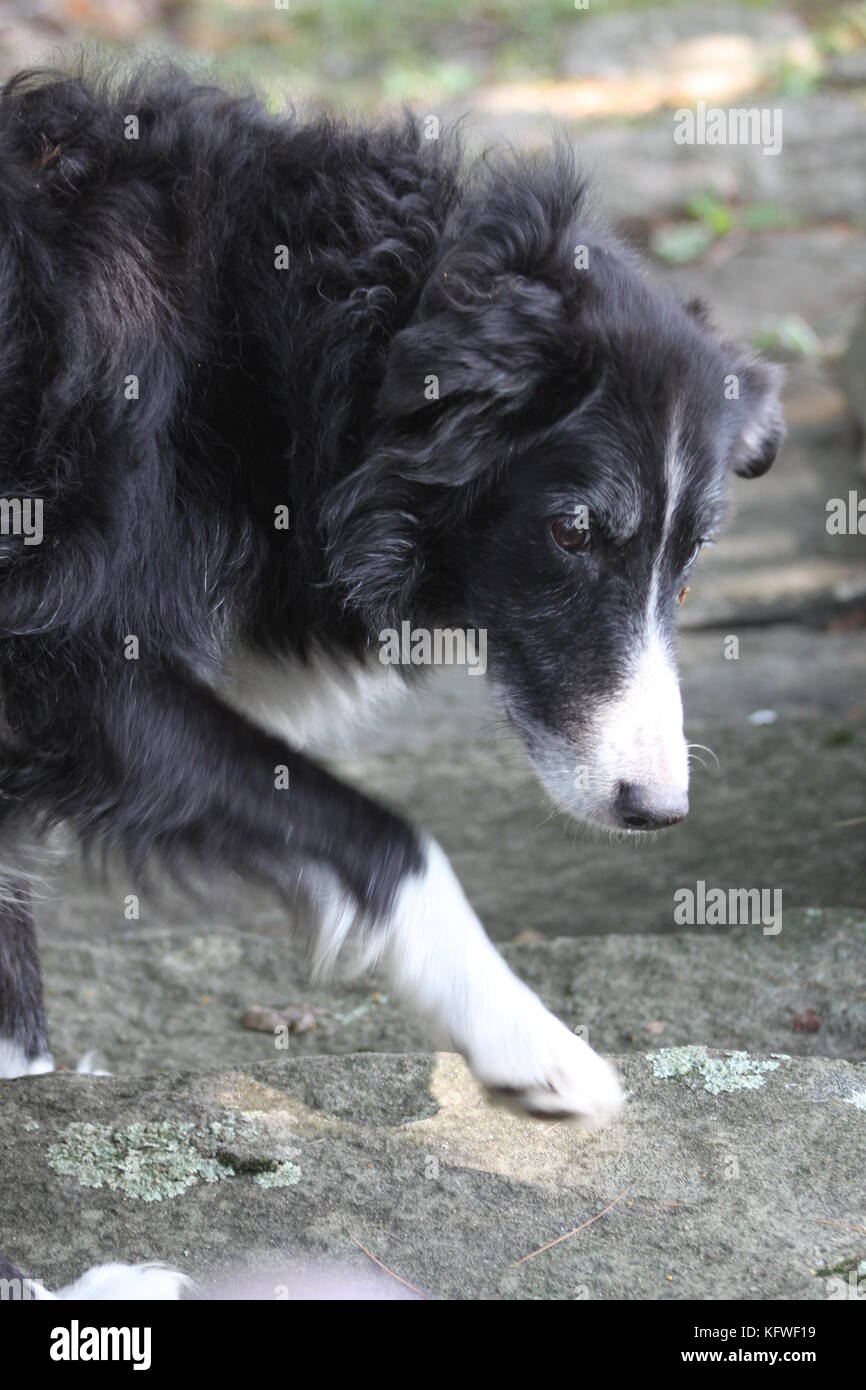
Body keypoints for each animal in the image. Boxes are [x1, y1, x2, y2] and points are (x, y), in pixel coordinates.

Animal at [0, 70, 783, 1289]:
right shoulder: (57, 640)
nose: (656, 807)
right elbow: (386, 836)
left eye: (692, 559)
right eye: (571, 530)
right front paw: (540, 1053)